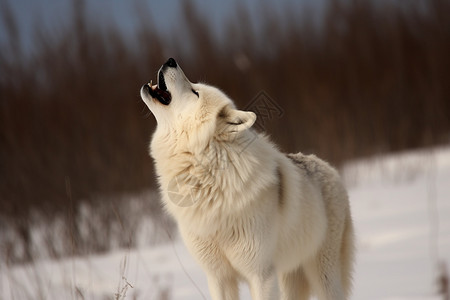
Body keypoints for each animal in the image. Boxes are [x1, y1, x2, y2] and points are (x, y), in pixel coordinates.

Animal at [141, 57, 356, 298]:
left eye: (195, 92)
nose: (171, 60)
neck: (209, 180)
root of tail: (328, 166)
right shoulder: (218, 276)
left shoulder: (261, 275)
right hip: (288, 276)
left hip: (323, 275)